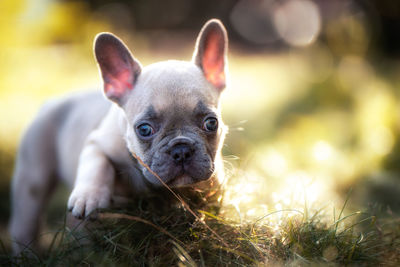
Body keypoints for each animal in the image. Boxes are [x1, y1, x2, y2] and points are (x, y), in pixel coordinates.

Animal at [8, 18, 228, 255]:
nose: (181, 149)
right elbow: (97, 163)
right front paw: (89, 196)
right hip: (33, 178)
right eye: (144, 129)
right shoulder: (96, 142)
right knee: (26, 220)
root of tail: (50, 103)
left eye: (211, 123)